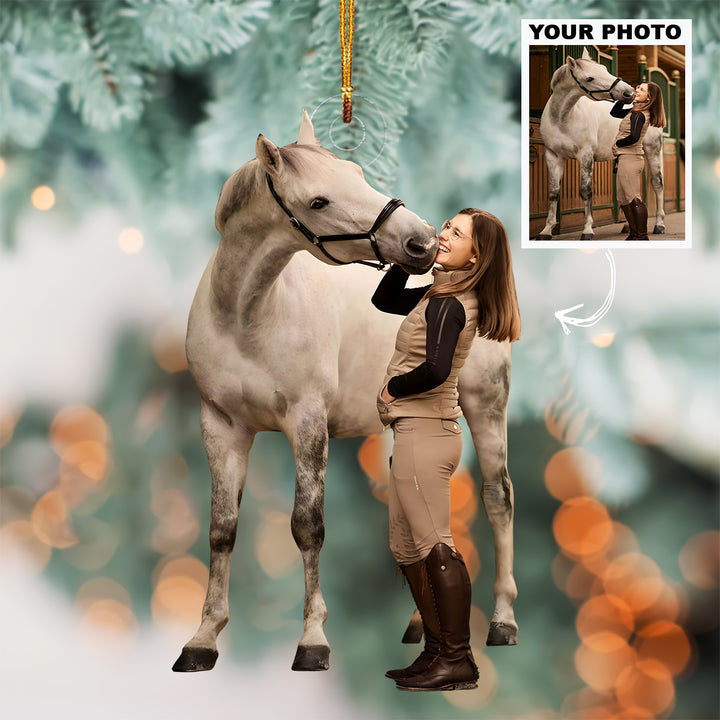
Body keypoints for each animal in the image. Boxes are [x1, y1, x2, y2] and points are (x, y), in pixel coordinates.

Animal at [172, 111, 518, 673]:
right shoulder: (221, 425)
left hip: (486, 404)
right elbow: (221, 529)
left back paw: (504, 621)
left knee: (498, 497)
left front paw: (313, 640)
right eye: (318, 201)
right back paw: (421, 625)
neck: (248, 316)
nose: (423, 241)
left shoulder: (308, 421)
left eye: (357, 173)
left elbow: (307, 525)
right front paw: (203, 639)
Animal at [536, 49, 665, 241]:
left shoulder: (585, 155)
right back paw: (628, 227)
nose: (629, 92)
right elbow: (553, 193)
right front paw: (546, 231)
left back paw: (659, 225)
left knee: (657, 184)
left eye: (604, 69)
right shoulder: (553, 155)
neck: (562, 118)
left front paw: (587, 230)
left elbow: (586, 191)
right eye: (590, 78)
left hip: (652, 151)